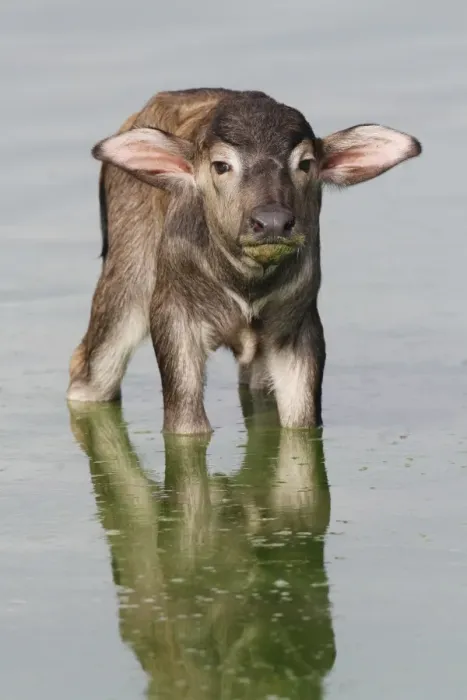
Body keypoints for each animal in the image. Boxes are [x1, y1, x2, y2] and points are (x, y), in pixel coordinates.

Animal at [67, 88, 421, 434]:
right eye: (221, 165)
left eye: (306, 163)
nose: (273, 222)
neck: (247, 285)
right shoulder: (175, 321)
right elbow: (187, 425)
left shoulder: (297, 332)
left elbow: (301, 423)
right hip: (126, 287)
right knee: (87, 373)